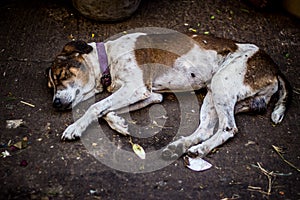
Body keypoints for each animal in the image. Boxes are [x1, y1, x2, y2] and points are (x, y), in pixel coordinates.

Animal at [47, 31, 290, 159]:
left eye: (61, 75)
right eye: (51, 86)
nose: (56, 103)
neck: (109, 58)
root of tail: (275, 68)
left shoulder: (135, 88)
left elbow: (95, 107)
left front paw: (75, 128)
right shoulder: (150, 95)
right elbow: (106, 111)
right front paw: (119, 124)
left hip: (222, 84)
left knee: (229, 128)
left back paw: (200, 149)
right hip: (214, 94)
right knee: (206, 129)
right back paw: (179, 147)